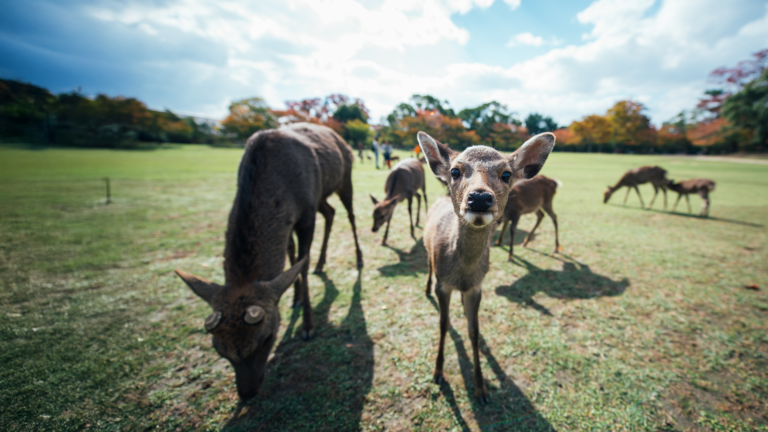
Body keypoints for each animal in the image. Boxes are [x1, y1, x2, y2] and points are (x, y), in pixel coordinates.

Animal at [174, 123, 364, 400]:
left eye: (267, 338)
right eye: (219, 348)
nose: (247, 392)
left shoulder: (305, 215)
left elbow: (301, 263)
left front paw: (308, 326)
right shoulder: (294, 217)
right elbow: (291, 256)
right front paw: (295, 297)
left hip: (344, 179)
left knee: (349, 214)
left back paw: (359, 259)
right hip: (321, 195)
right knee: (330, 212)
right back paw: (322, 263)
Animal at [419, 131, 555, 404]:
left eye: (506, 174)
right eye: (455, 171)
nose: (480, 198)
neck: (462, 273)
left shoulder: (476, 287)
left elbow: (474, 330)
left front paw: (481, 388)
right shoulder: (443, 284)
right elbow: (443, 324)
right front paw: (438, 373)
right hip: (428, 252)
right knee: (427, 266)